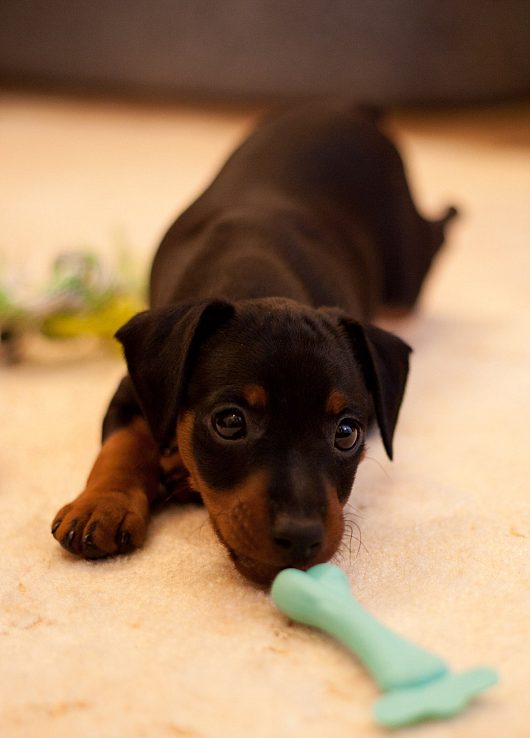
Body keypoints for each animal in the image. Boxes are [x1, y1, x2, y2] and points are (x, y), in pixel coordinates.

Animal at [52, 100, 454, 580]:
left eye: (347, 433)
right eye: (229, 422)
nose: (301, 537)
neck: (255, 275)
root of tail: (351, 109)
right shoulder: (136, 386)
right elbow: (123, 442)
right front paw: (101, 505)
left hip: (403, 267)